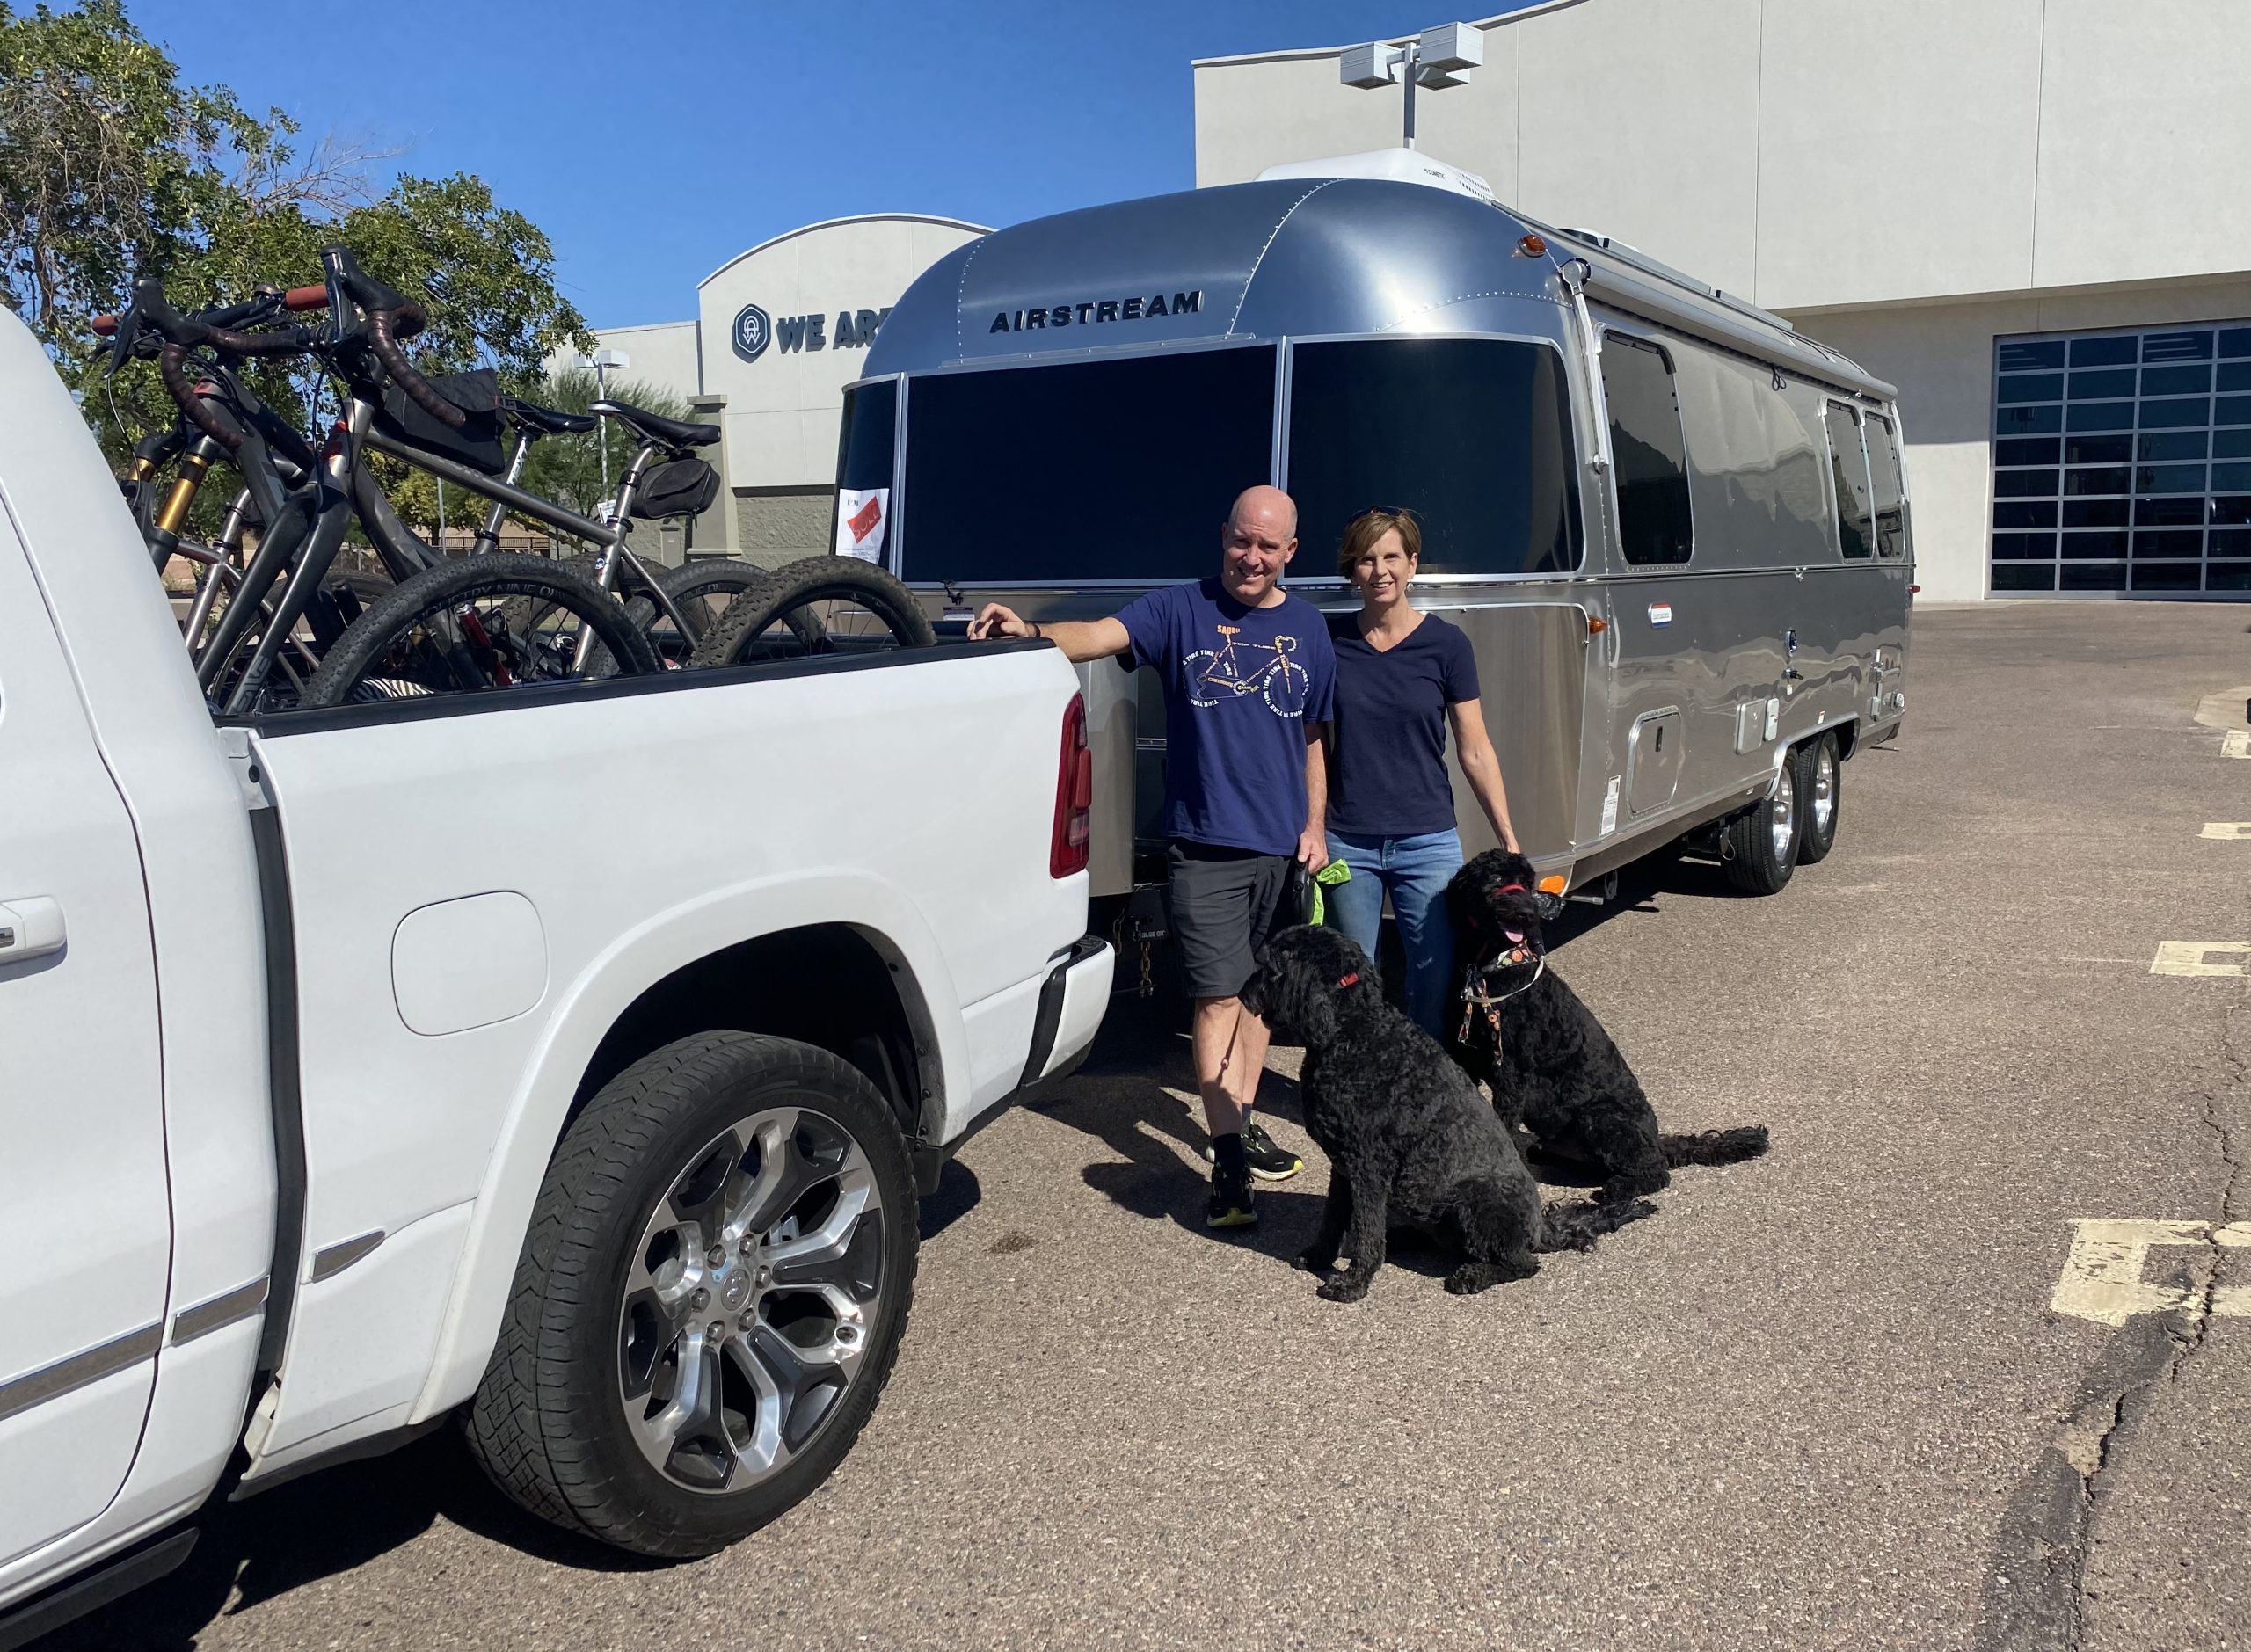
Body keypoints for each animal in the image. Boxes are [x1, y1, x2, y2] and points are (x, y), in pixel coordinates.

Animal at [1238, 925, 1653, 1302]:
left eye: (1269, 967)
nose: (1242, 994)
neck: (1354, 1033)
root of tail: (1539, 1229)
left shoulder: (1368, 1167)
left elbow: (1367, 1231)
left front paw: (1353, 1283)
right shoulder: (1343, 1167)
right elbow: (1334, 1219)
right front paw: (1321, 1256)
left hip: (1475, 1202)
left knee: (1522, 1264)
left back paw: (1471, 1275)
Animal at [1445, 849, 1770, 1205]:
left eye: (1528, 884)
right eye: (1499, 878)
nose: (1529, 914)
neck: (1497, 963)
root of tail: (1656, 1142)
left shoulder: (1512, 1075)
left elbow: (1502, 1119)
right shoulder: (1469, 1059)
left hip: (1600, 1118)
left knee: (1656, 1173)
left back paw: (1619, 1189)